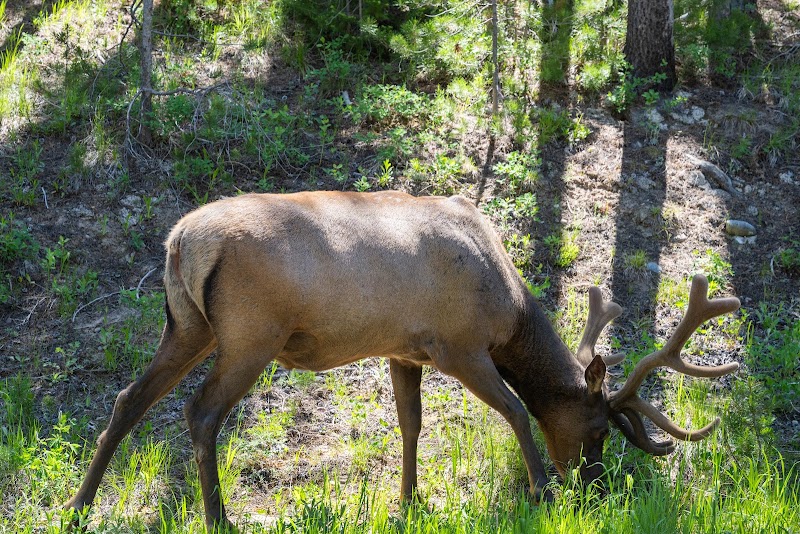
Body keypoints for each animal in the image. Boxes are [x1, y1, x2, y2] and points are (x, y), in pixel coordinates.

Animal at [65, 191, 740, 531]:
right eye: (598, 428)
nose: (594, 487)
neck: (506, 311)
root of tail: (181, 241)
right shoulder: (458, 345)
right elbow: (518, 412)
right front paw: (541, 493)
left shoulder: (401, 349)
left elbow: (410, 425)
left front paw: (410, 500)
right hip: (250, 335)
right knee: (200, 413)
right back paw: (217, 518)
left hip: (188, 326)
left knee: (129, 399)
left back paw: (79, 506)